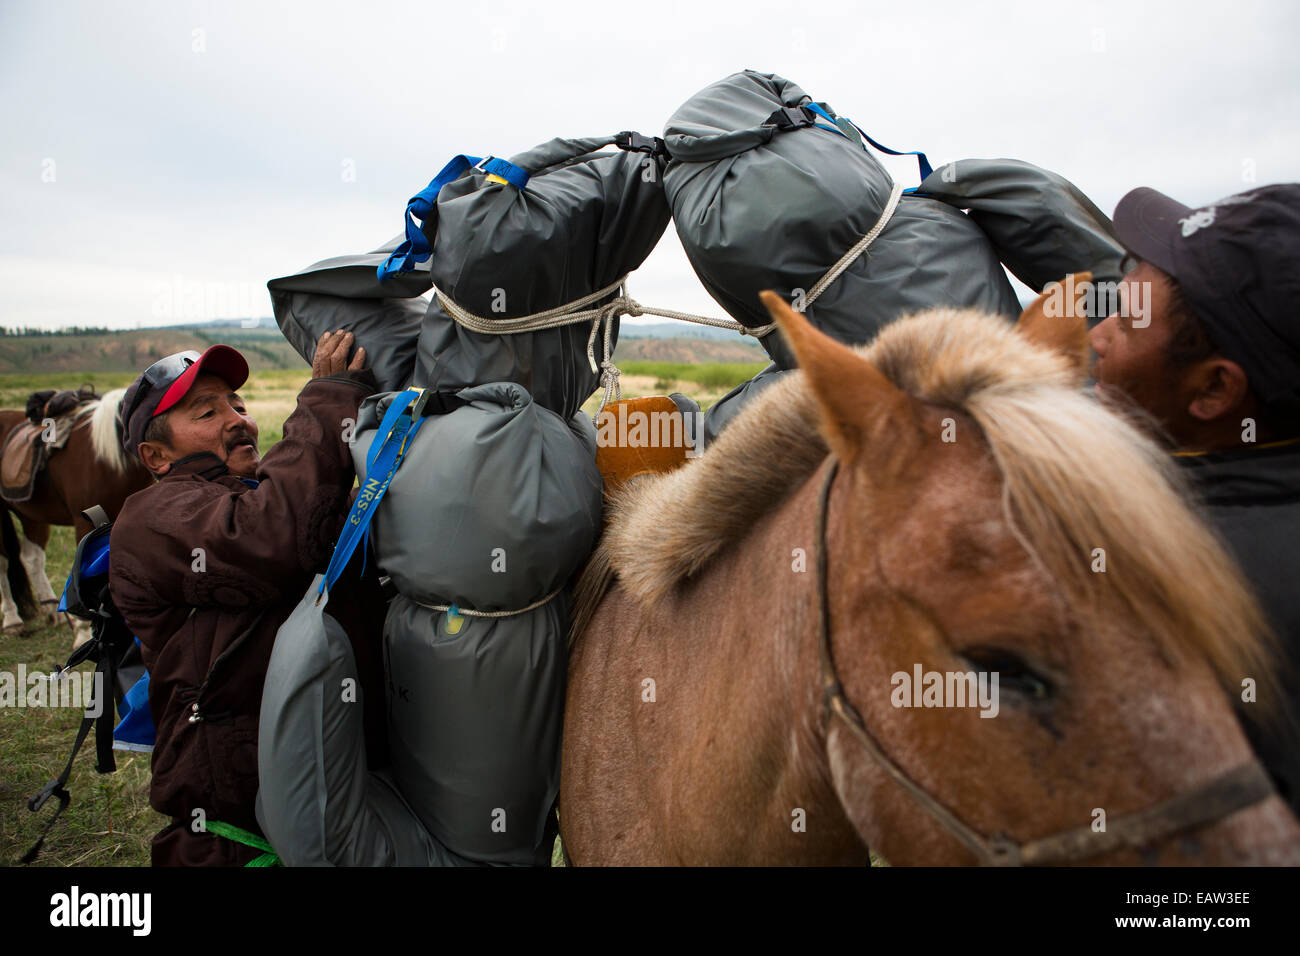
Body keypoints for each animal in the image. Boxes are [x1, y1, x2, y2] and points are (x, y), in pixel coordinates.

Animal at [0, 387, 152, 642]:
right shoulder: (85, 523)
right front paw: (83, 632)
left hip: (32, 515)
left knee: (31, 558)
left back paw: (53, 612)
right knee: (4, 562)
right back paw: (12, 620)